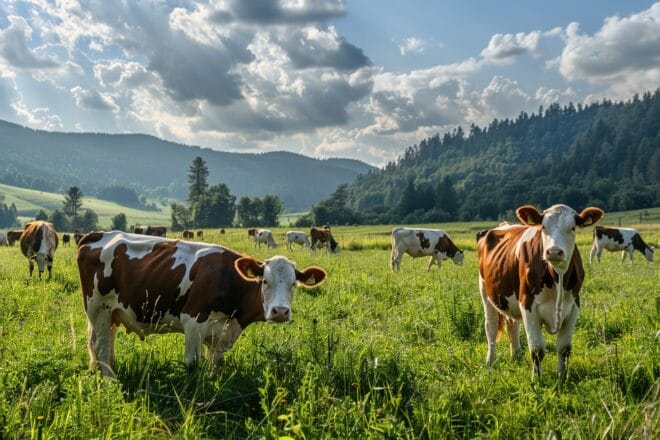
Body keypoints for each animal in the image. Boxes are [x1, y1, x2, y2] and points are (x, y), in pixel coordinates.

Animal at [76, 231, 327, 377]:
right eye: (265, 281)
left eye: (294, 284)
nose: (280, 312)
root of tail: (97, 234)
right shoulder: (193, 321)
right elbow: (192, 364)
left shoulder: (221, 333)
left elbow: (215, 365)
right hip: (98, 308)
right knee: (100, 345)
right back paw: (110, 381)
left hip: (113, 313)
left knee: (105, 342)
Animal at [477, 204, 603, 380]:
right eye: (543, 227)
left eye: (572, 228)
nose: (554, 251)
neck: (557, 276)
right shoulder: (528, 305)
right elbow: (537, 350)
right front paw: (537, 380)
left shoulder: (573, 307)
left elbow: (564, 348)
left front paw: (562, 377)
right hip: (485, 292)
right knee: (491, 326)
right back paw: (490, 362)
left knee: (512, 324)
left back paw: (516, 356)